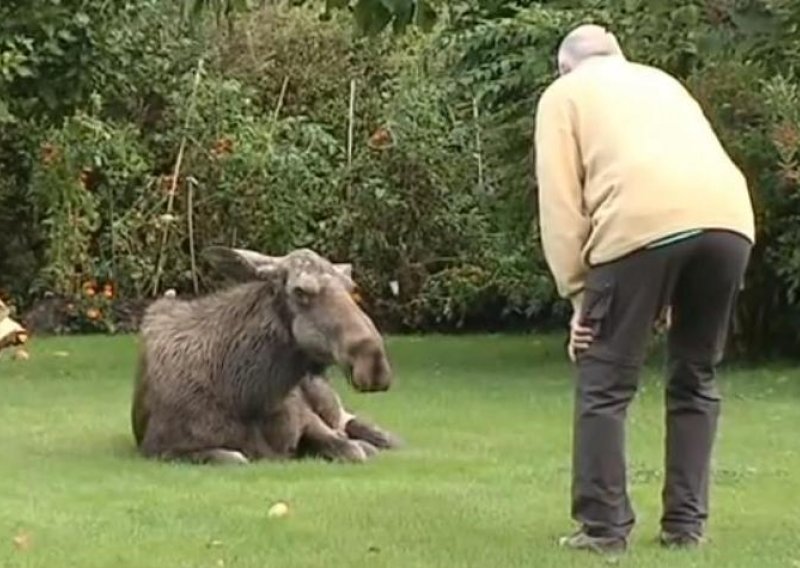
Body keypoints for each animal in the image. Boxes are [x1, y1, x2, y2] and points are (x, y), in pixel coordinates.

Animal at [134, 246, 404, 464]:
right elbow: (235, 458)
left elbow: (352, 450)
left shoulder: (309, 422)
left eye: (351, 288)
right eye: (300, 291)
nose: (374, 364)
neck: (247, 395)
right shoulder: (161, 448)